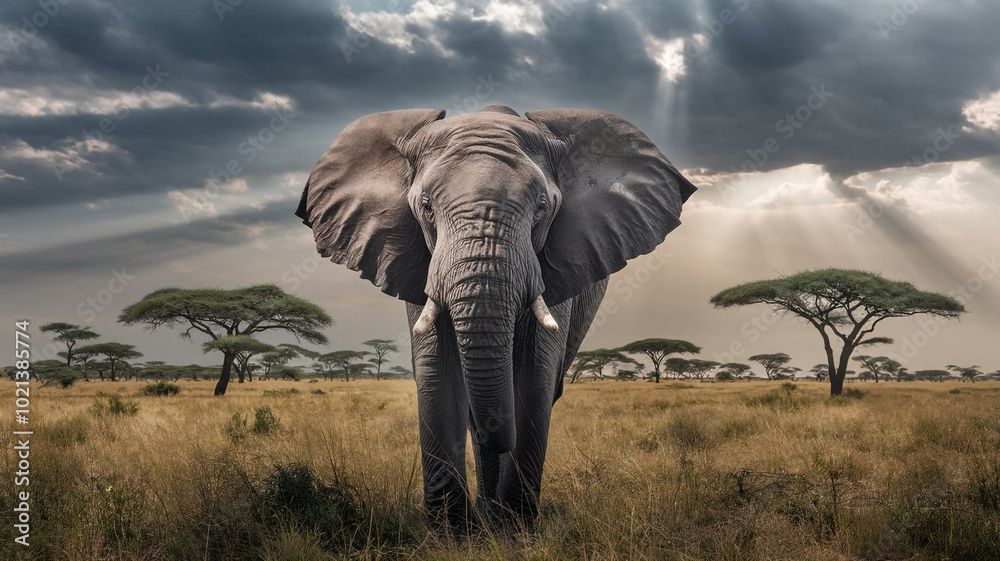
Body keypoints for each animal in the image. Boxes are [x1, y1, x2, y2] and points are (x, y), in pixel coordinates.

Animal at [296, 105, 695, 532]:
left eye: (542, 207)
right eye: (426, 206)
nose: (503, 437)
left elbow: (534, 375)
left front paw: (514, 530)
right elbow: (437, 372)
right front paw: (450, 533)